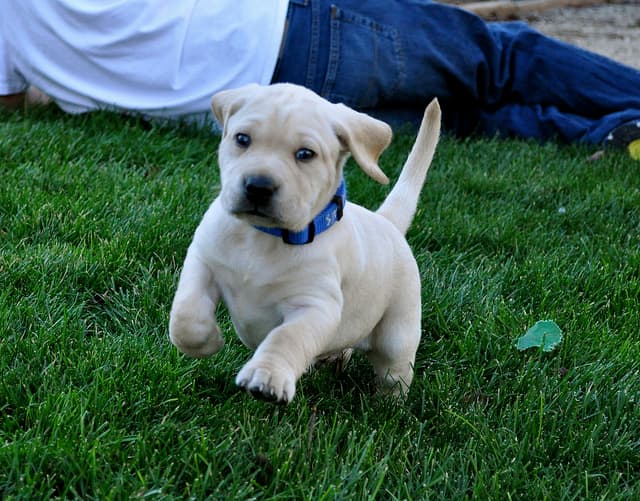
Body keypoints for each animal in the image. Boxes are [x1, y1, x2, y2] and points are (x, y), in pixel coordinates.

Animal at [170, 83, 440, 402]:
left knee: (394, 371)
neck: (263, 237)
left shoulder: (315, 306)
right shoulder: (202, 263)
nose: (258, 186)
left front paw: (268, 377)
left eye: (305, 154)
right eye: (242, 139)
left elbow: (286, 337)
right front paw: (206, 342)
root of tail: (387, 221)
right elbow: (185, 314)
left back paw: (388, 404)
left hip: (397, 329)